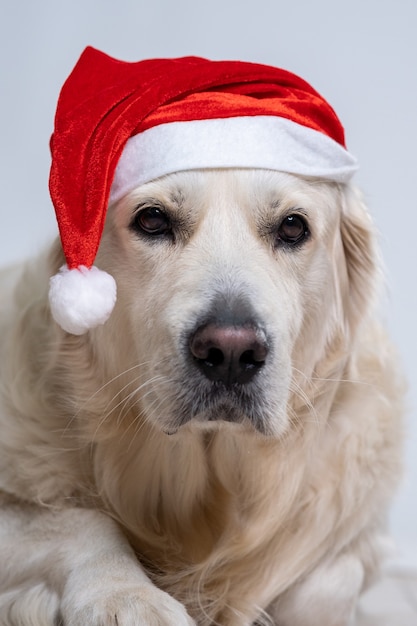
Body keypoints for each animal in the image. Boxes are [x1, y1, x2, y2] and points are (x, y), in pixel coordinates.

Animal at [0, 163, 404, 620]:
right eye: (152, 219)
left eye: (292, 226)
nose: (230, 352)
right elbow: (81, 522)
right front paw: (128, 598)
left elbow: (325, 574)